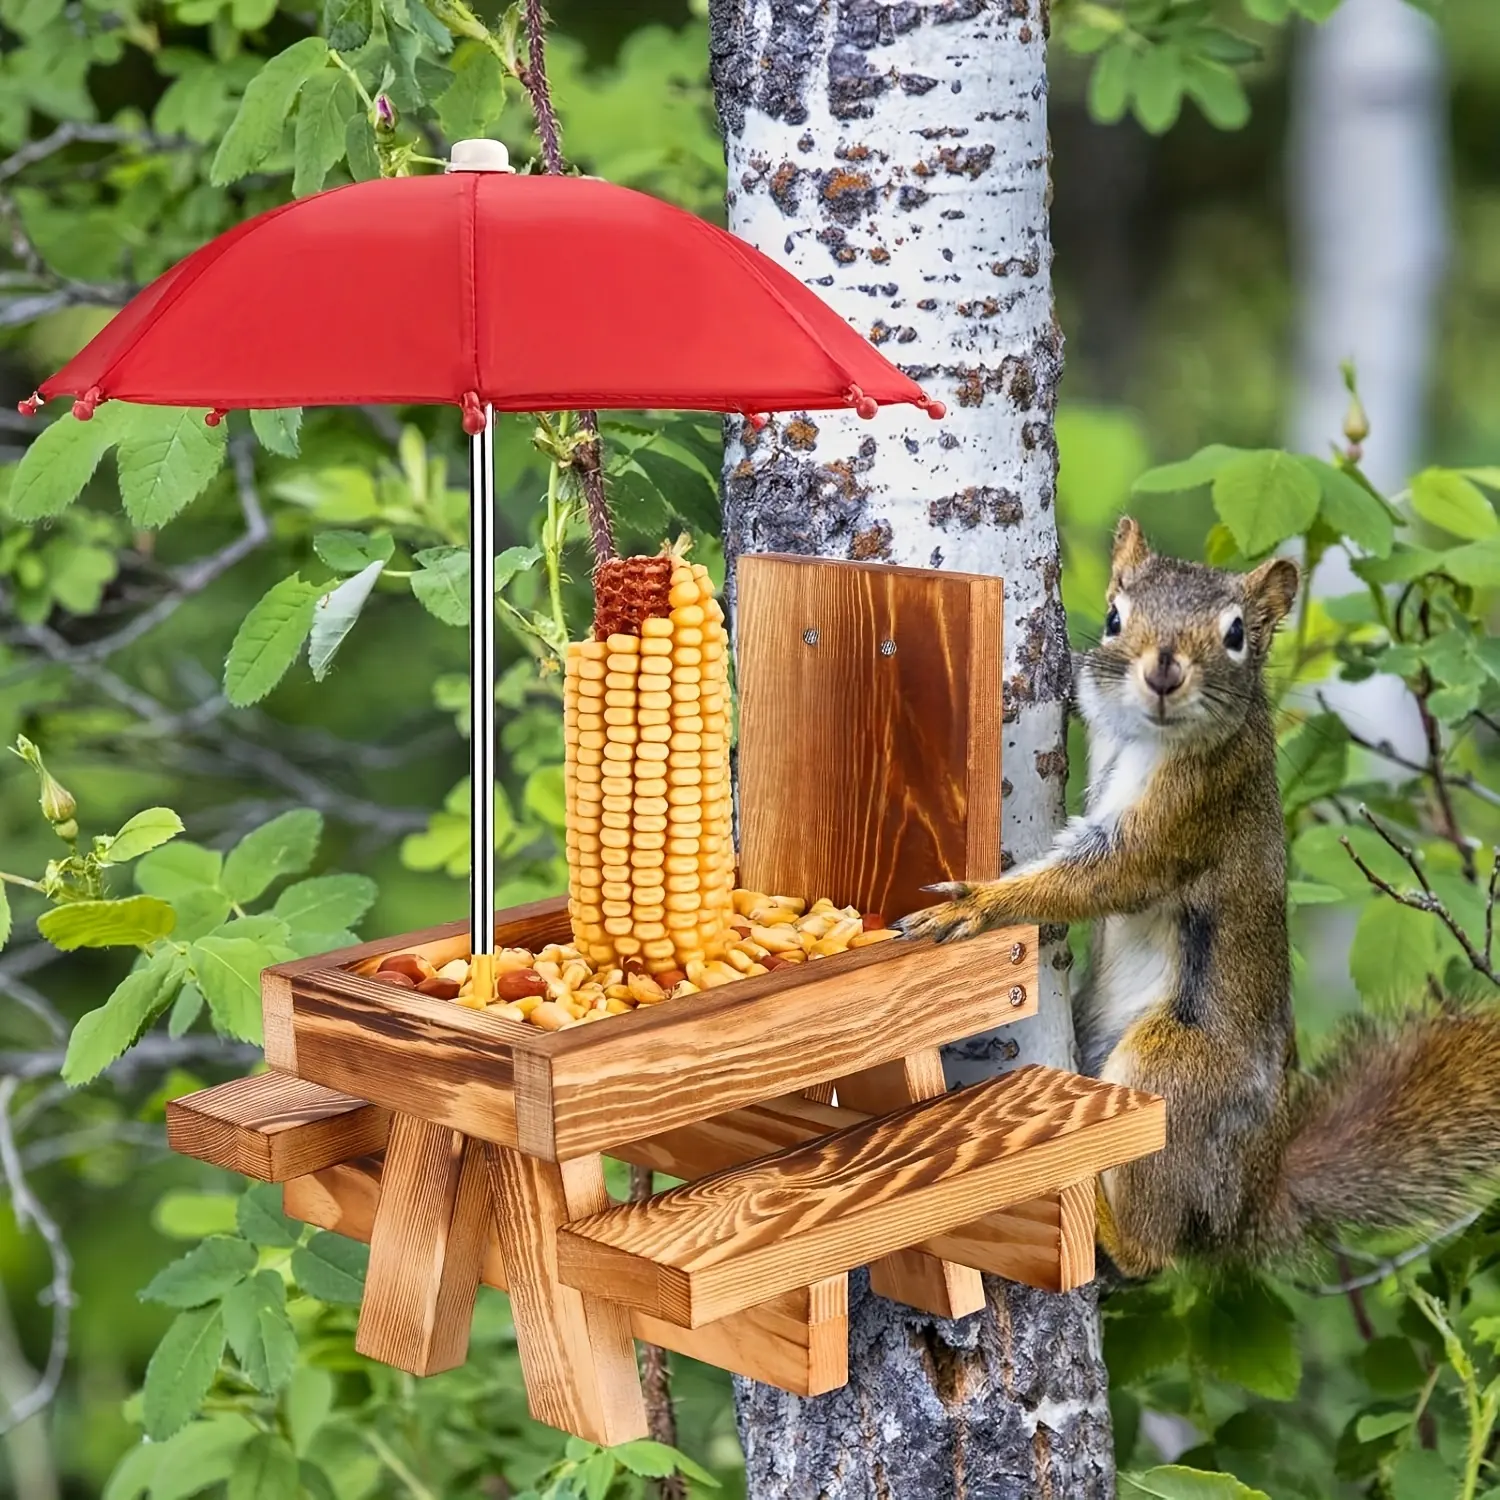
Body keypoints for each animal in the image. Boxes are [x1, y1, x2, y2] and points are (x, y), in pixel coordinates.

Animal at [899, 516, 1500, 1280]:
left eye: (1237, 633)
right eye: (1115, 616)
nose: (1164, 671)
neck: (1146, 735)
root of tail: (1248, 1203)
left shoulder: (1195, 806)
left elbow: (1110, 875)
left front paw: (976, 906)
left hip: (1176, 1070)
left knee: (1154, 1253)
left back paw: (1108, 1222)